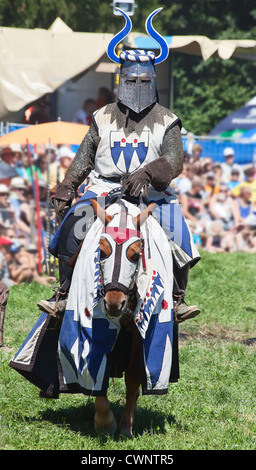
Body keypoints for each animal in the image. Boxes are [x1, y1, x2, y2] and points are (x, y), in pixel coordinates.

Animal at [90, 197, 154, 436]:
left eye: (135, 254)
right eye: (101, 251)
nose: (114, 304)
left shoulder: (136, 332)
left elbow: (133, 379)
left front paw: (127, 426)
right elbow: (97, 367)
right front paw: (104, 421)